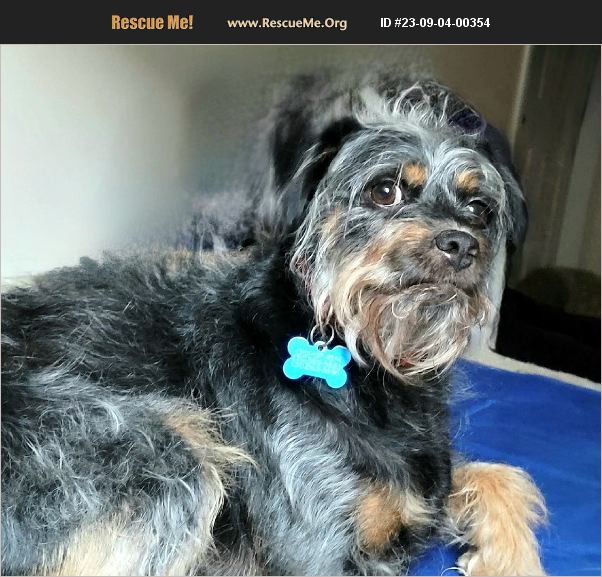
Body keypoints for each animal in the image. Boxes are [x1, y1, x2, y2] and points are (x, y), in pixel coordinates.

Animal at [1, 72, 547, 576]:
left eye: (479, 207)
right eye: (384, 190)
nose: (462, 244)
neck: (370, 356)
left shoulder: (429, 480)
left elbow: (503, 474)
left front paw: (510, 560)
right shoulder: (316, 550)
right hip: (167, 453)